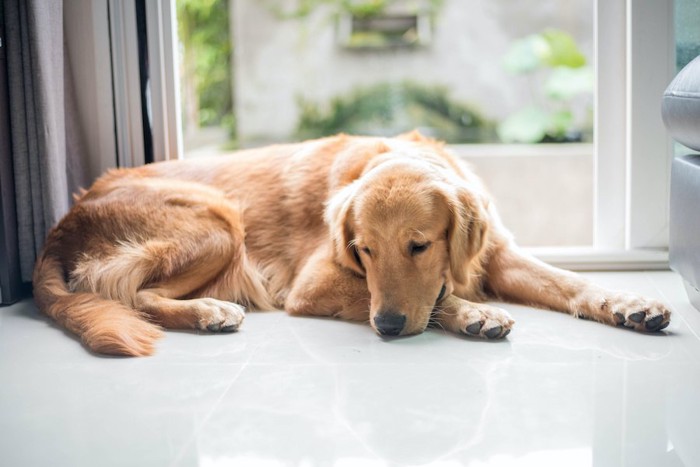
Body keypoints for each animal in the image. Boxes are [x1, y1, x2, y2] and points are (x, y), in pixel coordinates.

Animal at [32, 133, 672, 356]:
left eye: (419, 246)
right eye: (362, 250)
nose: (385, 328)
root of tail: (62, 221)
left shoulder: (498, 253)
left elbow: (570, 281)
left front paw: (629, 303)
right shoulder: (313, 283)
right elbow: (432, 300)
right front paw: (472, 313)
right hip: (218, 223)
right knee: (132, 294)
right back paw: (210, 310)